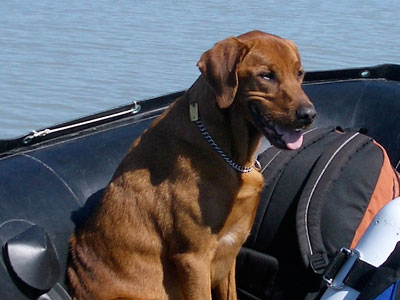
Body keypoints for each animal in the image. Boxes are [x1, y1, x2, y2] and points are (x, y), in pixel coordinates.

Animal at [66, 31, 316, 300]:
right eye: (266, 75)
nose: (309, 115)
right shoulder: (194, 258)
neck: (229, 153)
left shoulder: (230, 249)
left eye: (300, 73)